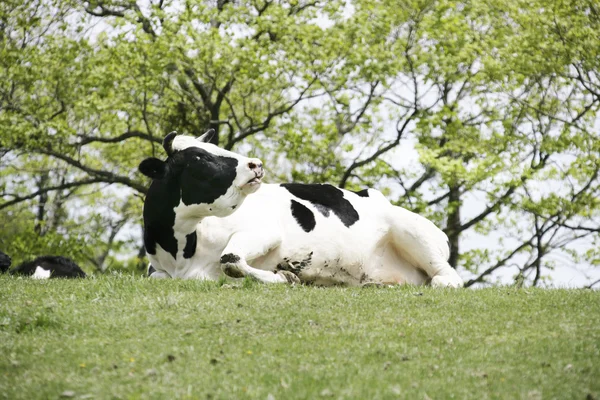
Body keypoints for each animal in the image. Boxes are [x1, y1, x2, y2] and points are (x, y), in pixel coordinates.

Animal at [137, 131, 464, 288]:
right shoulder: (158, 271)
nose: (255, 164)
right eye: (199, 158)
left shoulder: (266, 231)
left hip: (412, 233)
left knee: (448, 277)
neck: (180, 249)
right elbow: (156, 276)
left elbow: (230, 259)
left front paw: (286, 277)